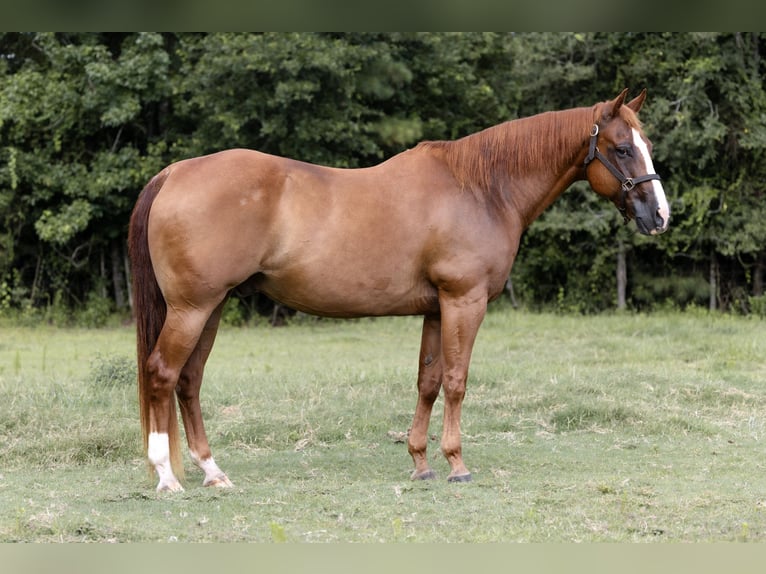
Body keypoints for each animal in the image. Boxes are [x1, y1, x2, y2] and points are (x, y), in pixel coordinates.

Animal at [128, 88, 669, 491]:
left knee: (189, 381)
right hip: (192, 308)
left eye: (645, 145)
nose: (660, 216)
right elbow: (456, 381)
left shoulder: (436, 309)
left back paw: (212, 472)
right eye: (622, 148)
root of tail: (174, 172)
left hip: (212, 308)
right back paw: (166, 476)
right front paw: (457, 465)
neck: (481, 189)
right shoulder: (464, 301)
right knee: (162, 374)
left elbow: (428, 382)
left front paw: (421, 463)